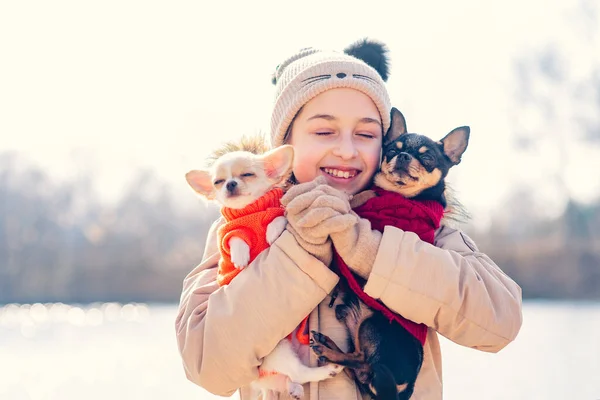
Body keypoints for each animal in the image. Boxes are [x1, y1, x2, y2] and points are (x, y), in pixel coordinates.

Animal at [185, 145, 342, 400]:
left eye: (247, 175)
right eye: (218, 181)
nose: (230, 184)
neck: (251, 211)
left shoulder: (276, 212)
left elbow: (278, 218)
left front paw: (271, 232)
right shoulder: (228, 231)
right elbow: (236, 236)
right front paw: (241, 256)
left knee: (297, 375)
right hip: (278, 350)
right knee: (297, 374)